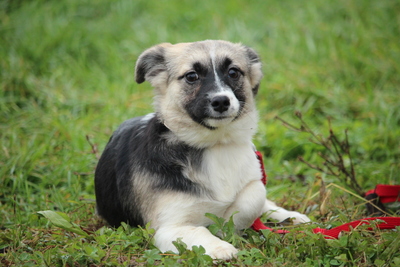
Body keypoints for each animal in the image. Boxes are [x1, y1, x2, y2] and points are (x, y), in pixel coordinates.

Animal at [94, 39, 310, 260]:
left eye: (233, 72)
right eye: (191, 76)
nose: (221, 101)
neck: (215, 145)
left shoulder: (253, 178)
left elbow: (254, 195)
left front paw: (229, 220)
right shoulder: (168, 227)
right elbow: (199, 230)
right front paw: (220, 246)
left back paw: (290, 216)